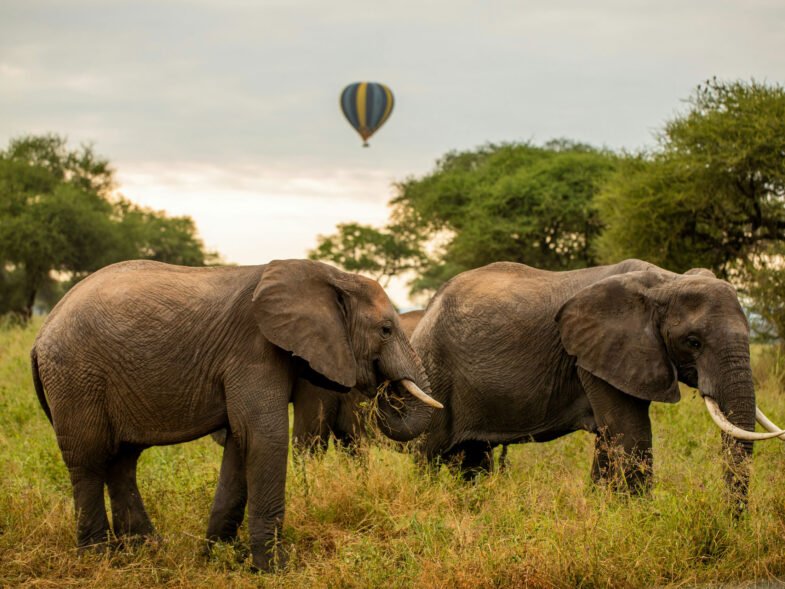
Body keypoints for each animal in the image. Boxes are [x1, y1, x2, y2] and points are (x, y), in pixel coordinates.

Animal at [410, 258, 784, 500]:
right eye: (693, 342)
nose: (732, 520)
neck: (666, 281)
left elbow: (611, 438)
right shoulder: (596, 353)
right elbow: (631, 434)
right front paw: (638, 519)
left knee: (473, 458)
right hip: (432, 372)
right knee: (428, 456)